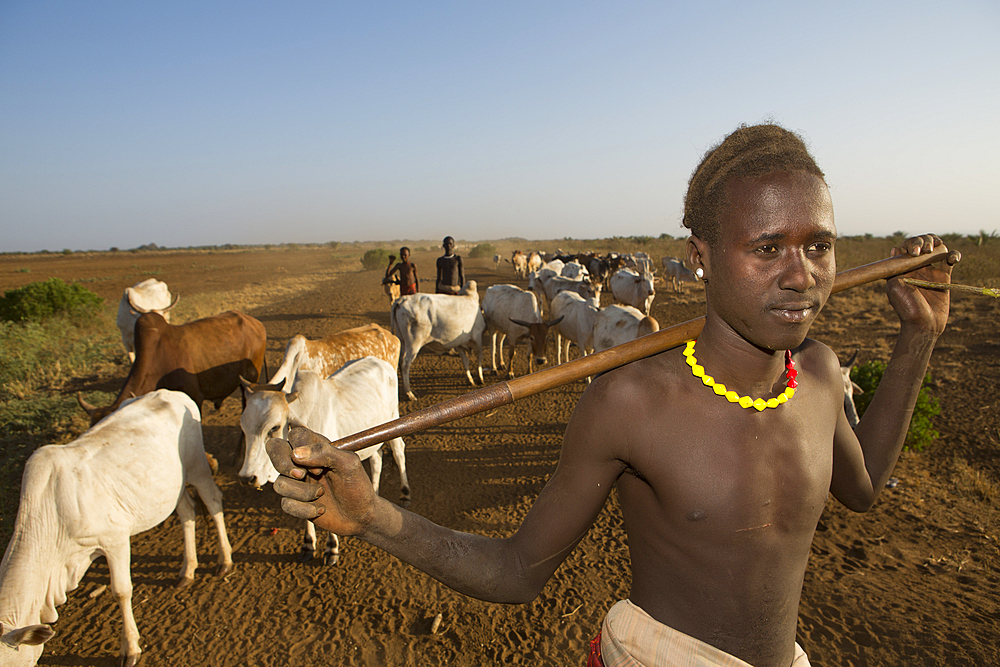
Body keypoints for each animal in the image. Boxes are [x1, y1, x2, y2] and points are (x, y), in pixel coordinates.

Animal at [0, 392, 230, 667]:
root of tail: (170, 393)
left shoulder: (115, 540)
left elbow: (121, 591)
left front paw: (130, 647)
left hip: (197, 468)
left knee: (213, 500)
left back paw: (225, 560)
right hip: (174, 486)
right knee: (186, 510)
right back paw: (188, 570)